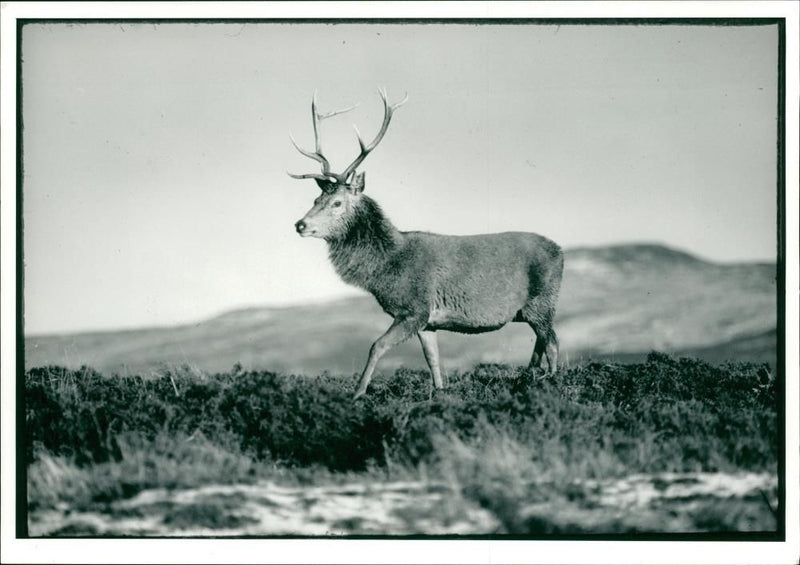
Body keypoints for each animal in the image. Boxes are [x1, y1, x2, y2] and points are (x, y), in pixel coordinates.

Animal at [290, 89, 564, 396]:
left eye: (337, 202)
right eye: (316, 199)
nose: (300, 224)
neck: (386, 268)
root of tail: (561, 251)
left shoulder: (414, 309)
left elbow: (376, 346)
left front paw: (357, 393)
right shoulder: (428, 322)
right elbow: (432, 360)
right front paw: (440, 393)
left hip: (543, 301)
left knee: (553, 342)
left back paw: (551, 383)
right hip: (532, 310)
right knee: (541, 342)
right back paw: (528, 378)